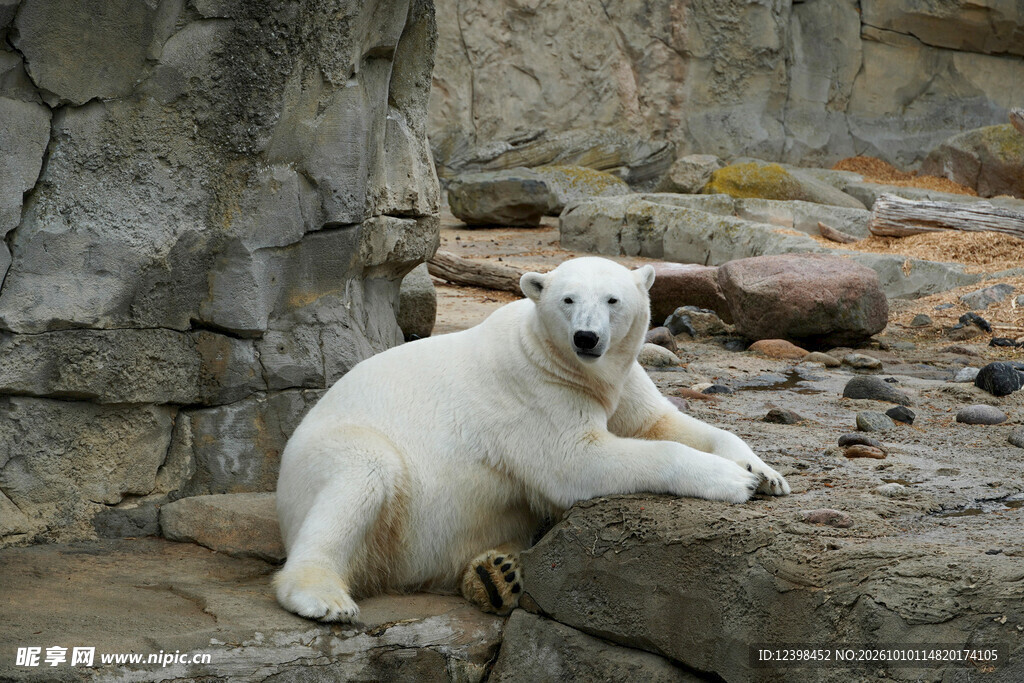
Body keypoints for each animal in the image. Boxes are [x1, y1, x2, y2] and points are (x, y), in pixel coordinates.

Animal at [274, 256, 790, 622]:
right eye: (567, 299)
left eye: (612, 300)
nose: (586, 338)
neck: (564, 362)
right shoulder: (534, 392)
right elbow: (575, 460)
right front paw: (732, 480)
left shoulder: (621, 383)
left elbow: (659, 423)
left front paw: (765, 473)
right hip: (334, 458)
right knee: (362, 475)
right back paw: (323, 596)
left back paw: (496, 573)